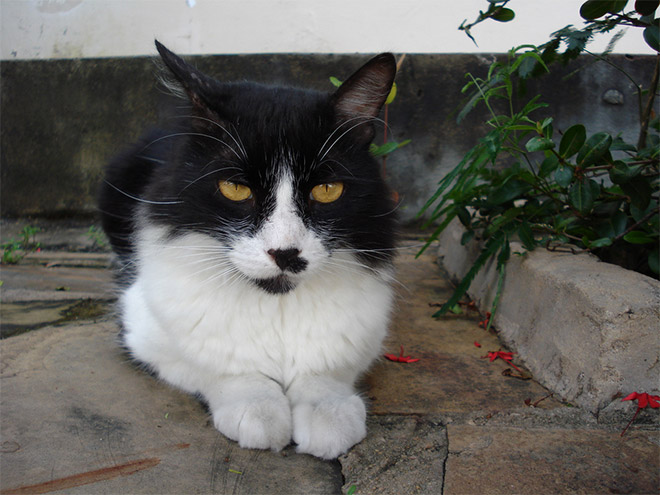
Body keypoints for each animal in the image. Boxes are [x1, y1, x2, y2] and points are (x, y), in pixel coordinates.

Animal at [98, 41, 398, 462]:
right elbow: (221, 366)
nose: (286, 253)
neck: (277, 308)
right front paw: (257, 408)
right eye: (235, 189)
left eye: (327, 190)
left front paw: (328, 412)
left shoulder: (362, 335)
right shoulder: (141, 325)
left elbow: (324, 371)